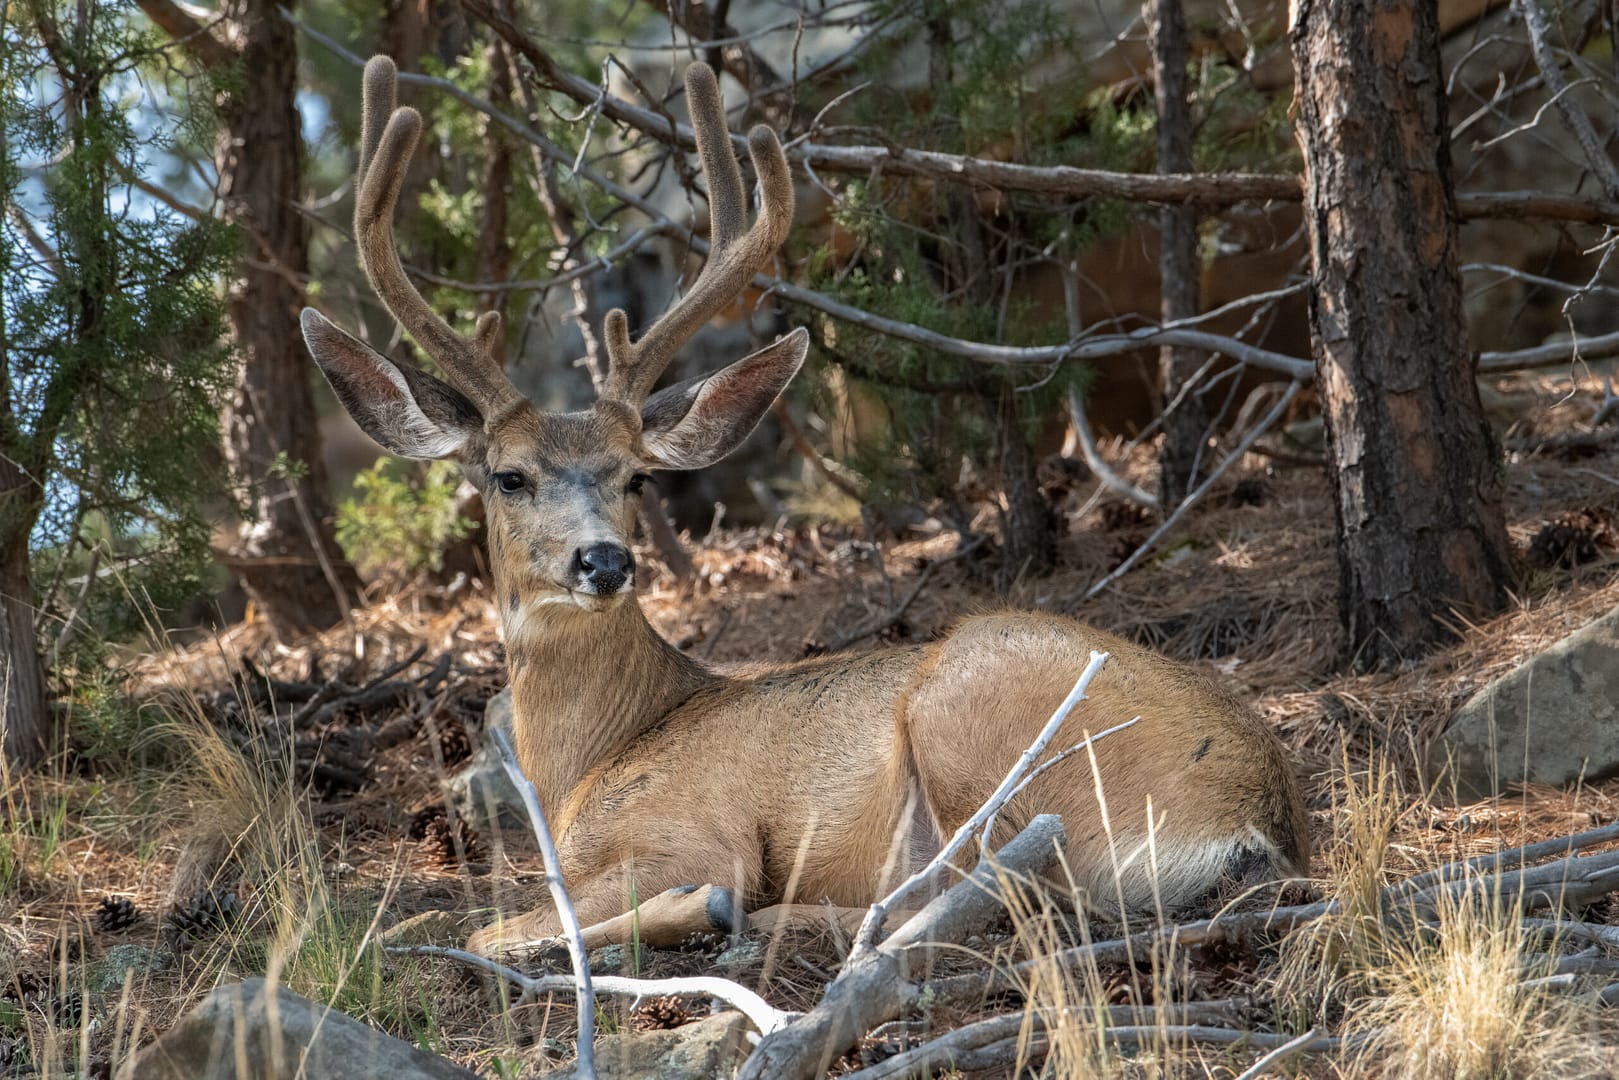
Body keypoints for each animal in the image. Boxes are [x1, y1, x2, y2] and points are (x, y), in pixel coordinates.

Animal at [300, 55, 1309, 959]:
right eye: (508, 476)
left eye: (635, 478)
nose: (603, 560)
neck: (591, 761)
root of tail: (1255, 816)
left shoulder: (689, 831)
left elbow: (501, 923)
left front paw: (687, 909)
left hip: (978, 719)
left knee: (995, 897)